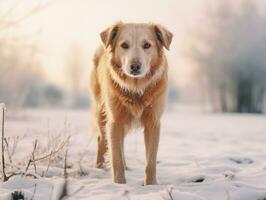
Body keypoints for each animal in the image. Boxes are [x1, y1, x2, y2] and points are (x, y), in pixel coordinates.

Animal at [89, 21, 172, 184]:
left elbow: (151, 161)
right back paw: (99, 167)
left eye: (147, 45)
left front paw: (151, 185)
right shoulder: (115, 121)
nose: (135, 66)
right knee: (102, 139)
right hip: (102, 112)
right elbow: (116, 158)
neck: (136, 88)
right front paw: (119, 184)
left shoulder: (153, 122)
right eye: (124, 45)